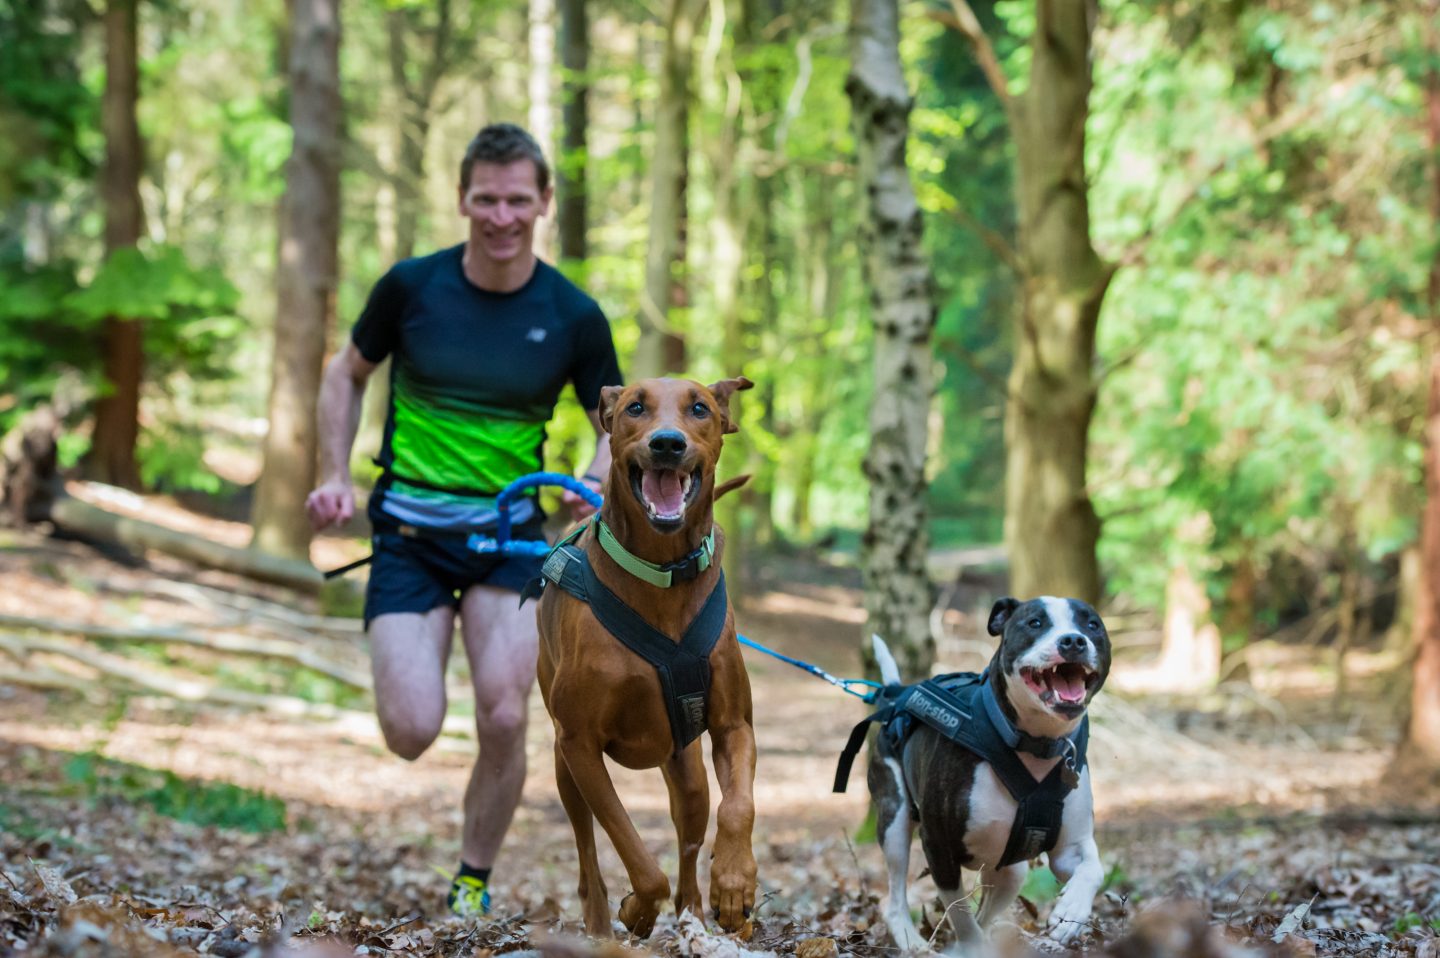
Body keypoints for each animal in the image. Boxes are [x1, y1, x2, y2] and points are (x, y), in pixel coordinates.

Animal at [535, 374, 760, 933]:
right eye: (635, 408)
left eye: (699, 408)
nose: (667, 444)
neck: (663, 575)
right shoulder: (579, 745)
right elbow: (633, 851)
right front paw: (636, 909)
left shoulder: (734, 726)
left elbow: (738, 808)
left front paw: (735, 882)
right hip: (563, 770)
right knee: (588, 857)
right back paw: (601, 924)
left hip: (688, 771)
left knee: (689, 846)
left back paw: (696, 913)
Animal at [858, 599, 1105, 950]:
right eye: (1035, 622)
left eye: (1092, 625)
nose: (1073, 641)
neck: (1034, 745)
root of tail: (898, 693)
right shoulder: (938, 846)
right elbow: (961, 915)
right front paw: (970, 947)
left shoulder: (1068, 849)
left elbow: (1093, 869)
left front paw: (1071, 910)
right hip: (894, 820)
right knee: (894, 898)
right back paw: (912, 943)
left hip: (1011, 871)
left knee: (989, 908)